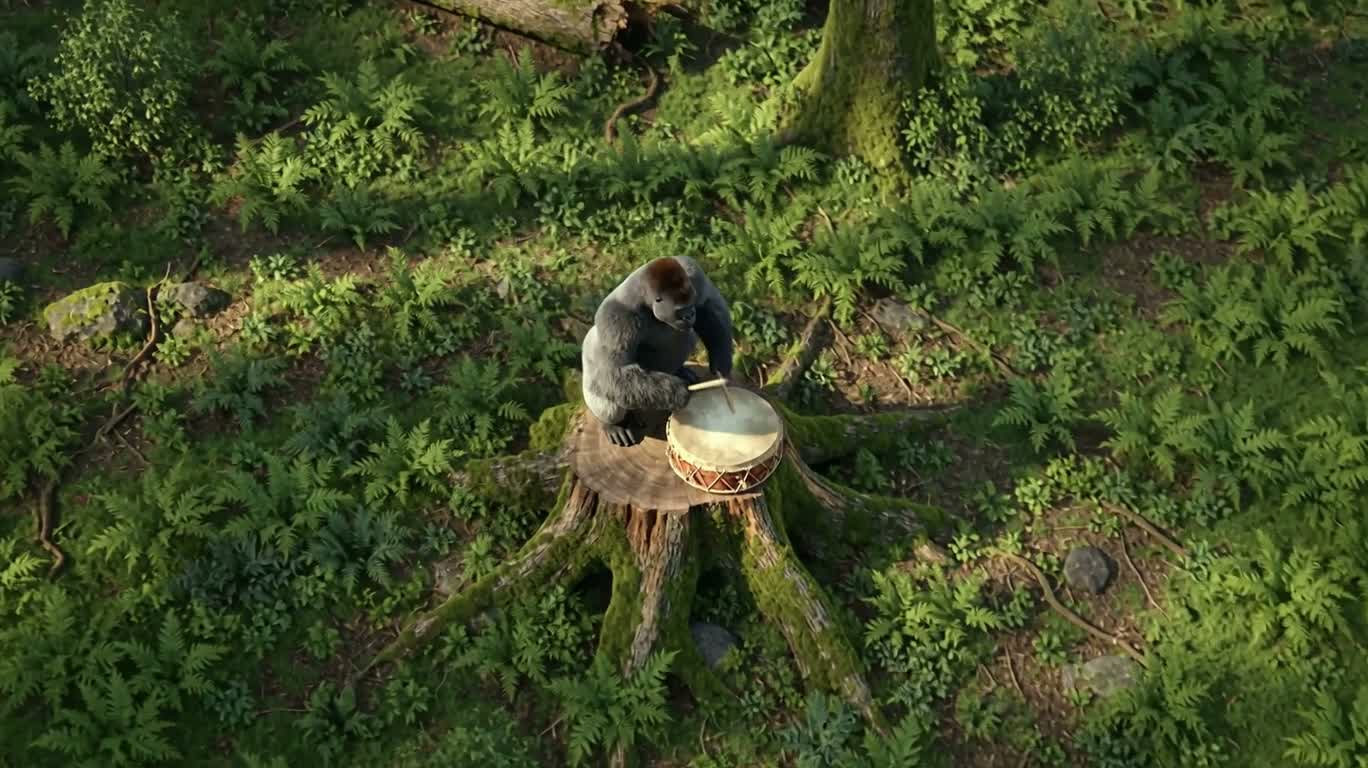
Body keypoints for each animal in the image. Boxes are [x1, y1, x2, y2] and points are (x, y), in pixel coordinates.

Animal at [581, 256, 734, 447]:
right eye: (680, 311)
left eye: (690, 304)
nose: (690, 314)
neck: (646, 299)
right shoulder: (616, 317)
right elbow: (612, 373)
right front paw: (678, 392)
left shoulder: (692, 271)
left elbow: (709, 306)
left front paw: (721, 360)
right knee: (602, 386)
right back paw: (614, 424)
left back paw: (680, 371)